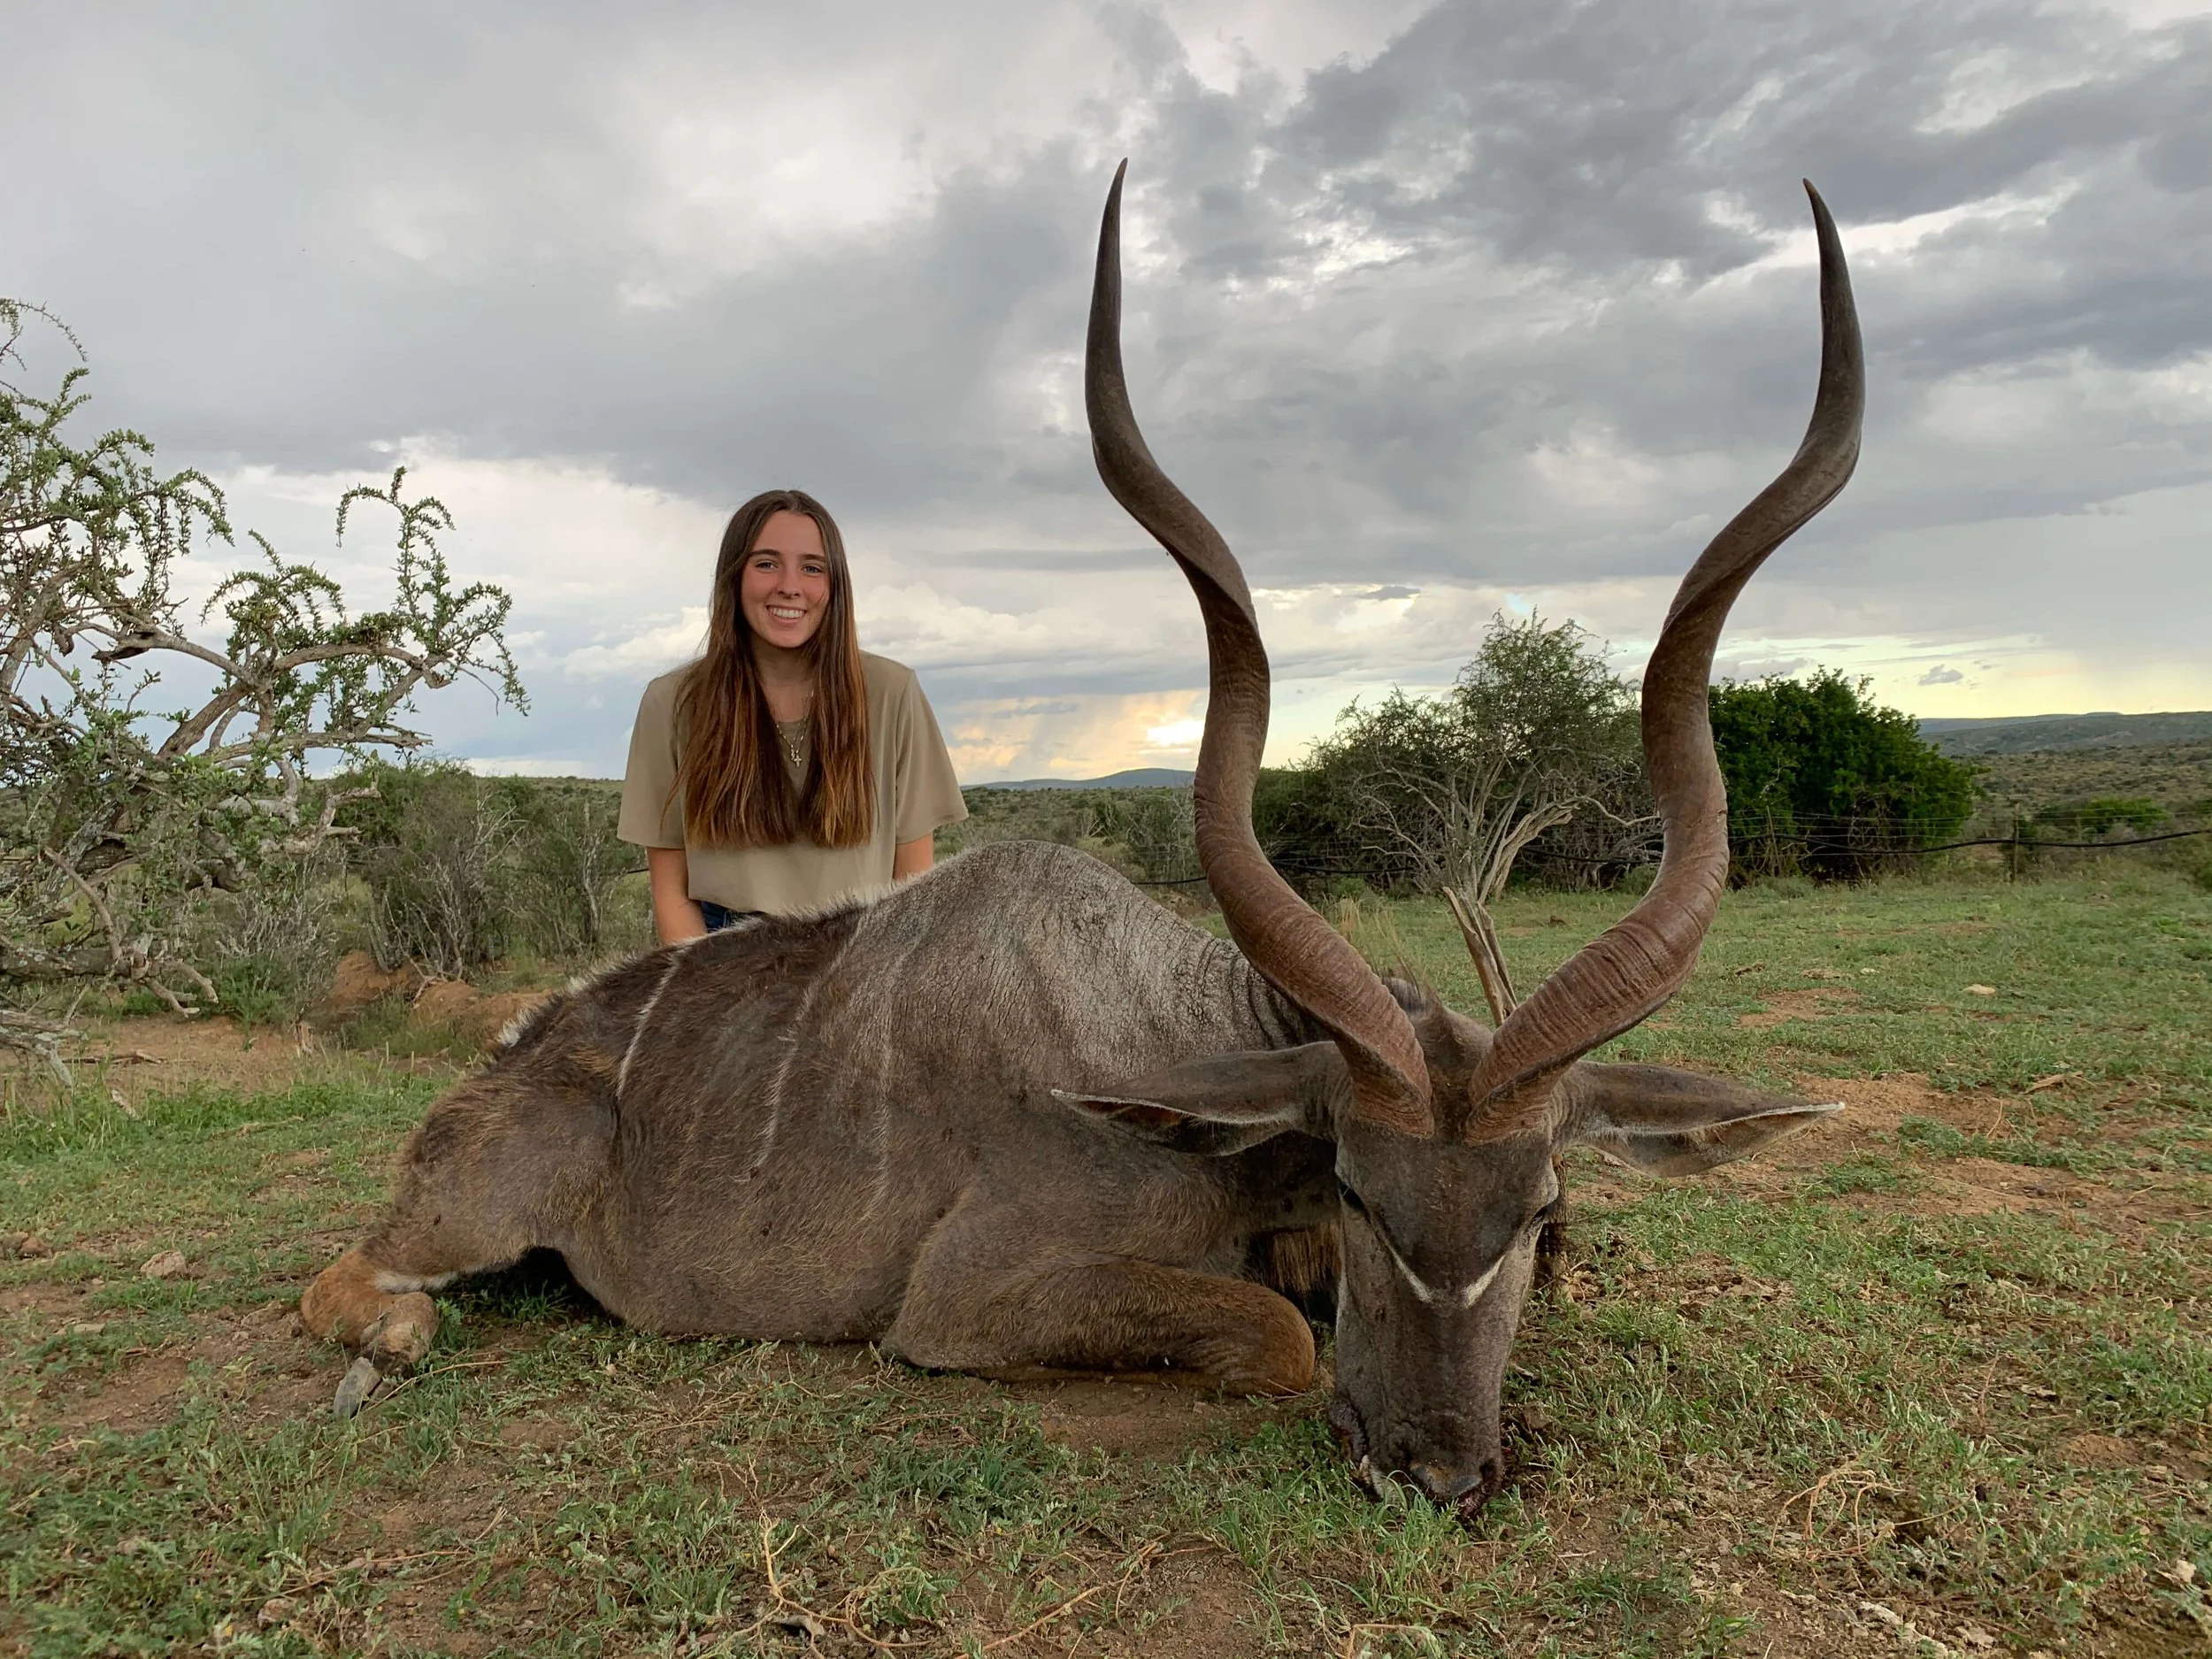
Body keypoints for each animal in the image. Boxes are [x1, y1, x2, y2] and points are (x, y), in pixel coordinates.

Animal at [302, 163, 1862, 1516]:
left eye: (1542, 1213)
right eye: (1362, 1191)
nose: (1436, 1470)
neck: (1174, 1048)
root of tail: (502, 1063)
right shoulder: (965, 1295)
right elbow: (1281, 1331)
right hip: (470, 1212)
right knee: (347, 1277)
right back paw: (392, 1339)